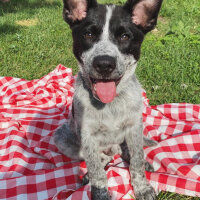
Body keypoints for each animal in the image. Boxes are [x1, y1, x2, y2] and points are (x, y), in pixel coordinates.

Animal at [54, 0, 162, 199]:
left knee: (127, 152)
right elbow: (97, 171)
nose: (104, 64)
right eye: (88, 34)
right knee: (104, 157)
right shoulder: (87, 135)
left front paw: (142, 187)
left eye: (125, 36)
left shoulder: (134, 126)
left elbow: (137, 160)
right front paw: (100, 192)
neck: (110, 104)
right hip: (62, 137)